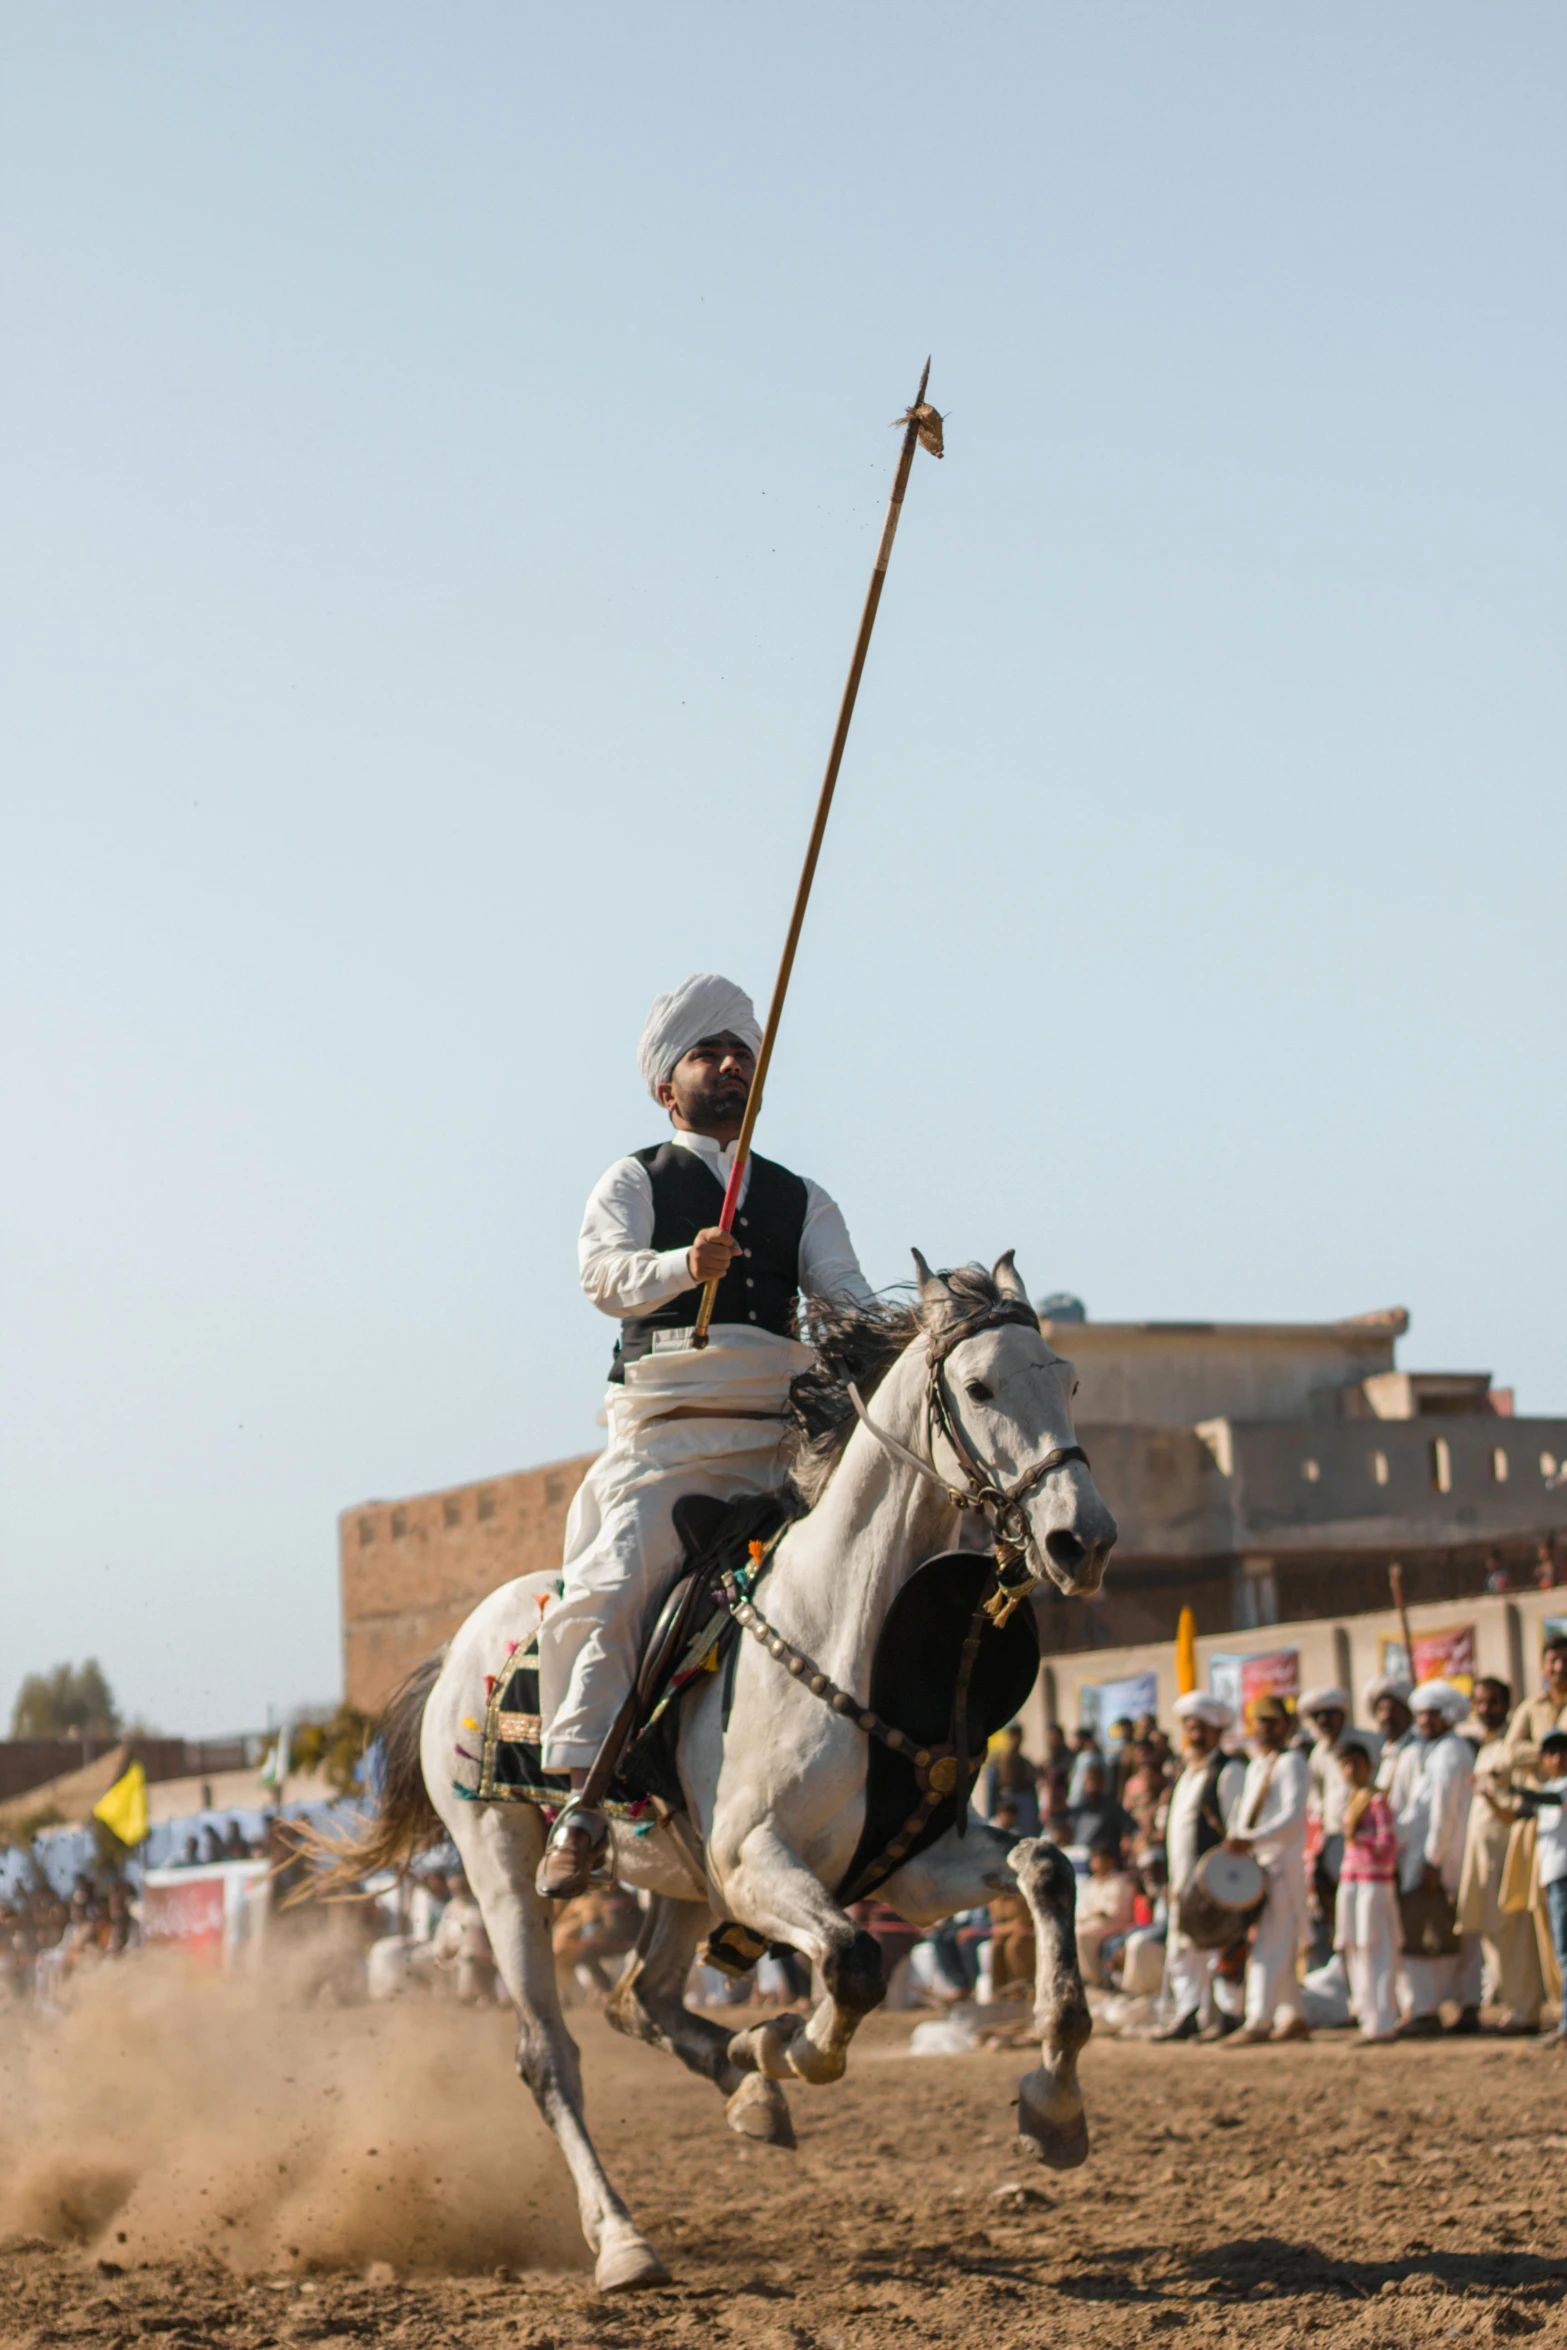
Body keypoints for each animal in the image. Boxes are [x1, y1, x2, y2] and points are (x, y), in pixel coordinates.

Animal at [328, 1259, 1113, 2284]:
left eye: (1068, 1379)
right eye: (978, 1388)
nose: (1080, 1540)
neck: (844, 1625)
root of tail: (461, 1644)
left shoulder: (910, 1868)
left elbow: (1044, 1870)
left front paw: (1052, 2107)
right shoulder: (754, 1866)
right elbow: (852, 1966)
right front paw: (789, 2046)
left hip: (678, 1881)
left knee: (640, 2000)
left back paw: (745, 2088)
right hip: (504, 1874)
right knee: (551, 2054)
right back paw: (623, 2236)